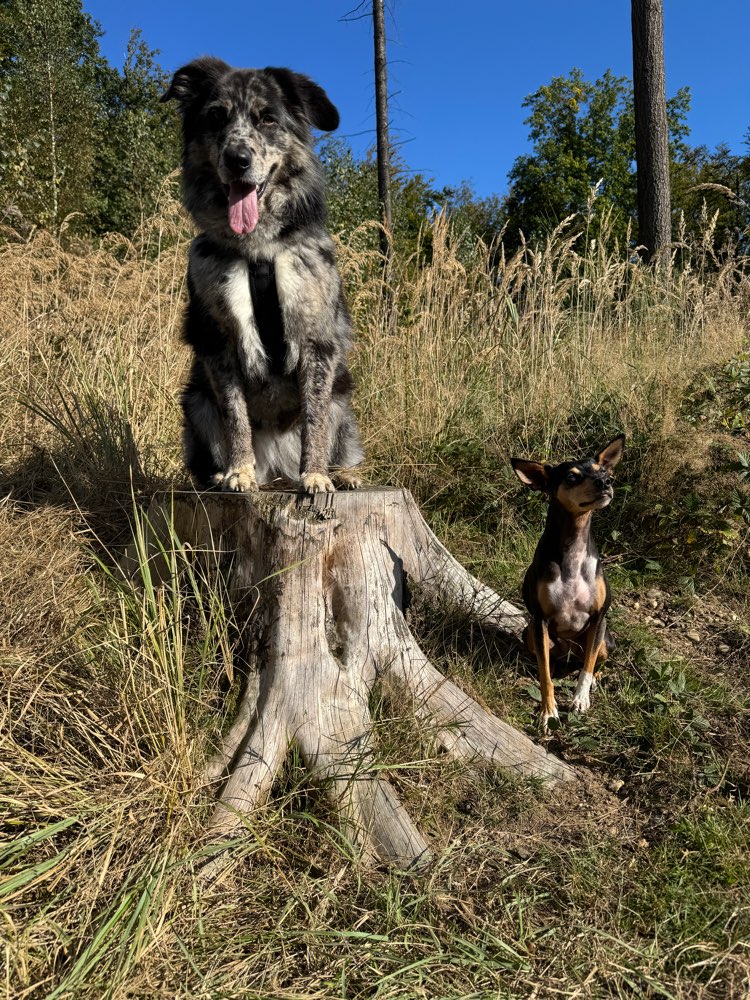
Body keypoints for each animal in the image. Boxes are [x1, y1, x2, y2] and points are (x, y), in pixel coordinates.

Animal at [163, 57, 366, 492]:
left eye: (268, 118)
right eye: (216, 116)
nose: (237, 159)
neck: (259, 249)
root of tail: (276, 469)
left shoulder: (317, 343)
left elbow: (314, 420)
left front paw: (316, 475)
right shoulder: (218, 343)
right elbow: (234, 414)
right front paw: (238, 471)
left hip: (343, 397)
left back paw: (343, 475)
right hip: (196, 400)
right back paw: (223, 473)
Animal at [516, 434, 624, 732]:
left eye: (602, 470)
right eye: (572, 477)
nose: (606, 482)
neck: (574, 546)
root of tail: (567, 655)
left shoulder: (599, 617)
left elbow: (587, 668)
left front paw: (579, 699)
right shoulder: (539, 621)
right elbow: (545, 676)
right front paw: (548, 712)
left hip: (605, 639)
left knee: (593, 660)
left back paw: (594, 681)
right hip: (530, 634)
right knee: (547, 661)